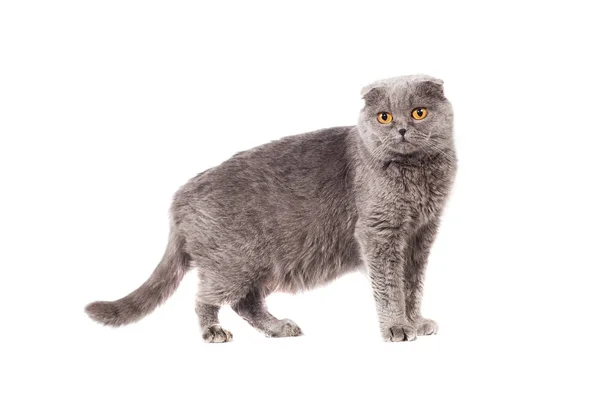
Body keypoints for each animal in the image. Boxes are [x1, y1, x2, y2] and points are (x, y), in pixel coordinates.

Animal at [84, 76, 458, 344]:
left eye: (419, 112)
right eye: (384, 116)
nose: (402, 129)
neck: (417, 175)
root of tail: (181, 196)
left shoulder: (421, 233)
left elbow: (412, 284)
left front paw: (415, 322)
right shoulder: (379, 233)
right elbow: (390, 286)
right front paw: (397, 327)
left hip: (263, 264)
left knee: (245, 302)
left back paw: (278, 327)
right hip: (234, 262)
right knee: (206, 296)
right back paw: (213, 331)